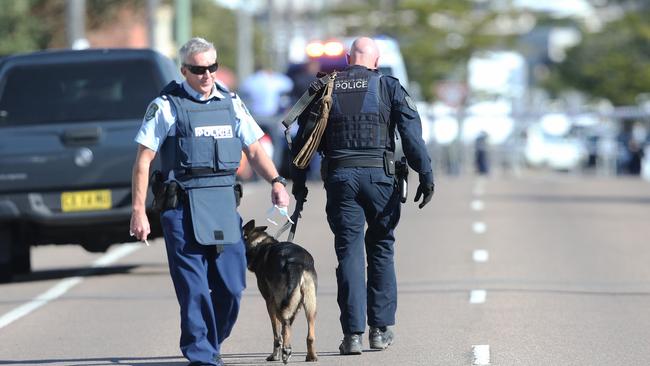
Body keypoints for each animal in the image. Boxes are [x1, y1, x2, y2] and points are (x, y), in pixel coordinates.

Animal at [240, 220, 316, 364]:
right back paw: (311, 356)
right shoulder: (295, 305)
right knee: (309, 334)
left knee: (284, 325)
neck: (259, 243)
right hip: (310, 305)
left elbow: (277, 333)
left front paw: (275, 355)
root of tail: (296, 263)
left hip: (280, 304)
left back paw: (286, 351)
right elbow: (284, 330)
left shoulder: (270, 302)